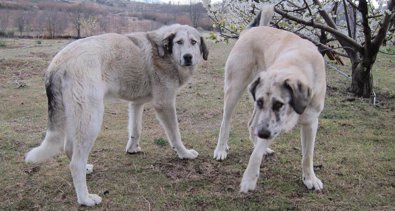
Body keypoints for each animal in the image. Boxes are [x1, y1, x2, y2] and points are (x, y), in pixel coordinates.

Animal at [25, 23, 209, 206]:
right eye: (179, 42)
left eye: (194, 42)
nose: (187, 57)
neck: (164, 52)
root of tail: (57, 63)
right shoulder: (165, 104)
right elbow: (175, 135)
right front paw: (184, 154)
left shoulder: (136, 104)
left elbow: (135, 130)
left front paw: (132, 149)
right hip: (91, 119)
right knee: (75, 163)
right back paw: (85, 199)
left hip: (77, 117)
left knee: (69, 148)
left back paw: (86, 169)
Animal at [213, 7, 328, 193]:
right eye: (262, 102)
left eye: (279, 104)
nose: (263, 134)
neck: (297, 63)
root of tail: (249, 31)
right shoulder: (271, 124)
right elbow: (255, 154)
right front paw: (249, 179)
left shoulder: (310, 122)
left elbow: (308, 155)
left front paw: (309, 178)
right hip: (234, 89)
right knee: (226, 121)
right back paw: (221, 149)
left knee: (251, 124)